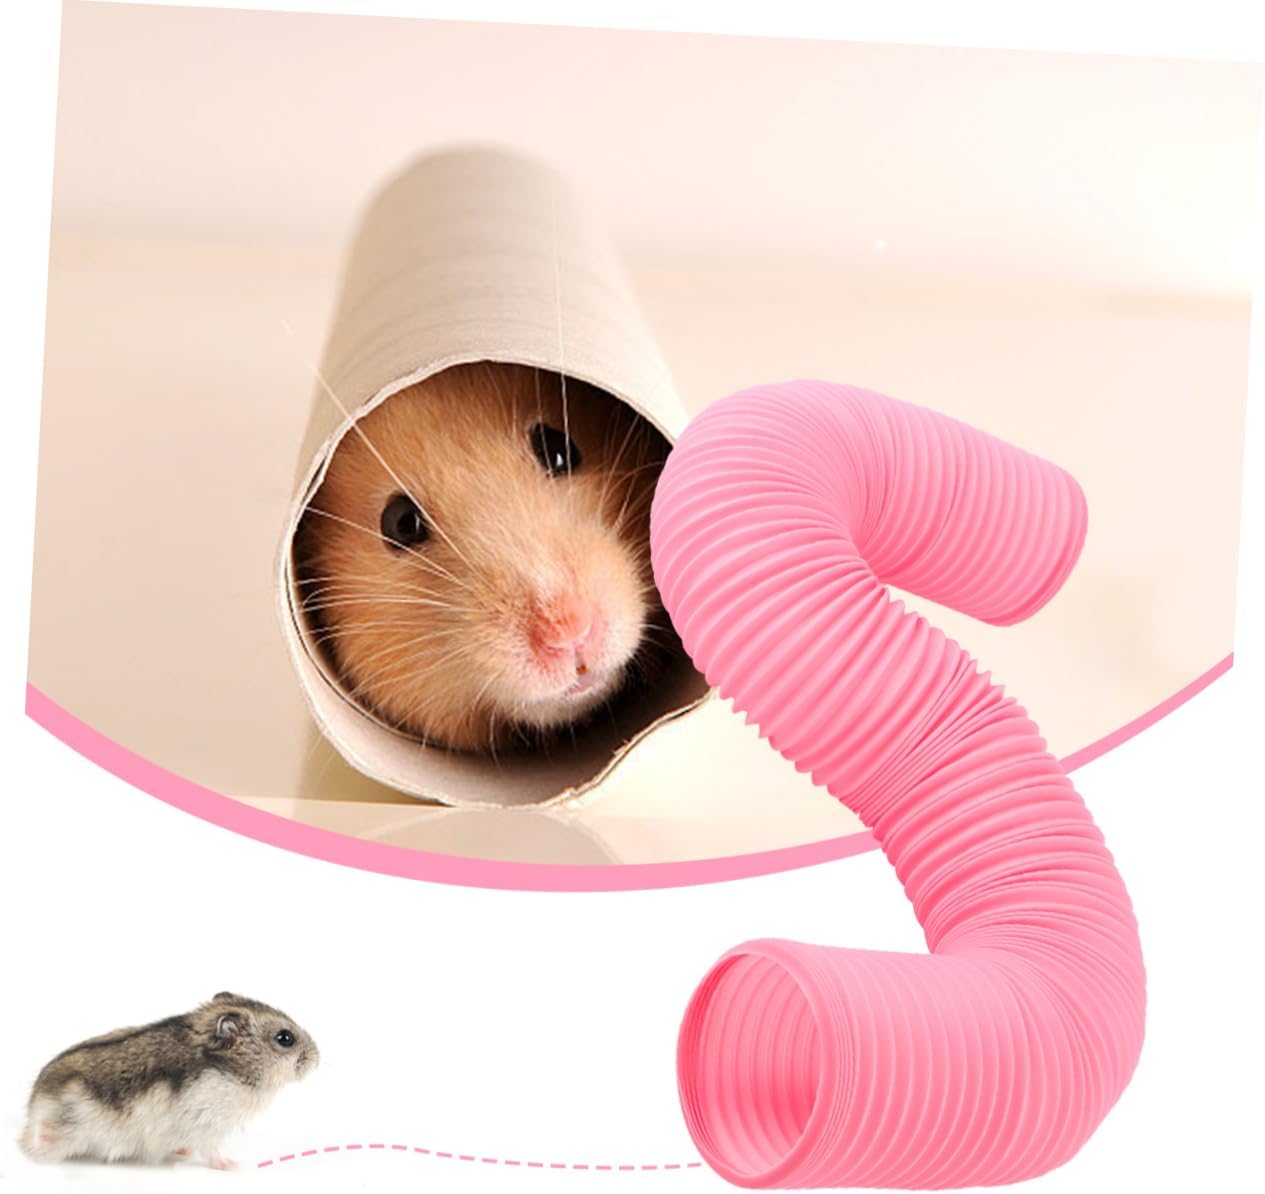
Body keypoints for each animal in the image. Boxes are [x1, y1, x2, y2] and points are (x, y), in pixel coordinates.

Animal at [20, 993, 318, 1170]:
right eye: (285, 1038)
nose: (317, 1058)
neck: (229, 1070)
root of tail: (32, 1110)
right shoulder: (206, 1126)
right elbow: (212, 1151)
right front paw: (232, 1165)